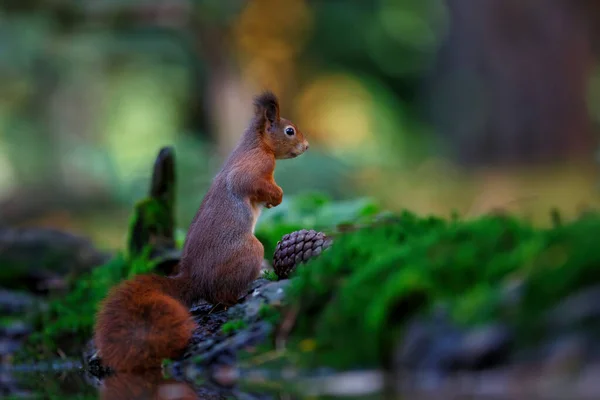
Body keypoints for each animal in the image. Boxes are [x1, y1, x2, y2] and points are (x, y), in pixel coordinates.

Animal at [95, 91, 310, 372]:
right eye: (289, 131)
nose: (307, 146)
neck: (257, 145)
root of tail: (194, 279)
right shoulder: (253, 167)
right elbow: (249, 183)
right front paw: (277, 196)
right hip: (249, 252)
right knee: (220, 295)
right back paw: (237, 298)